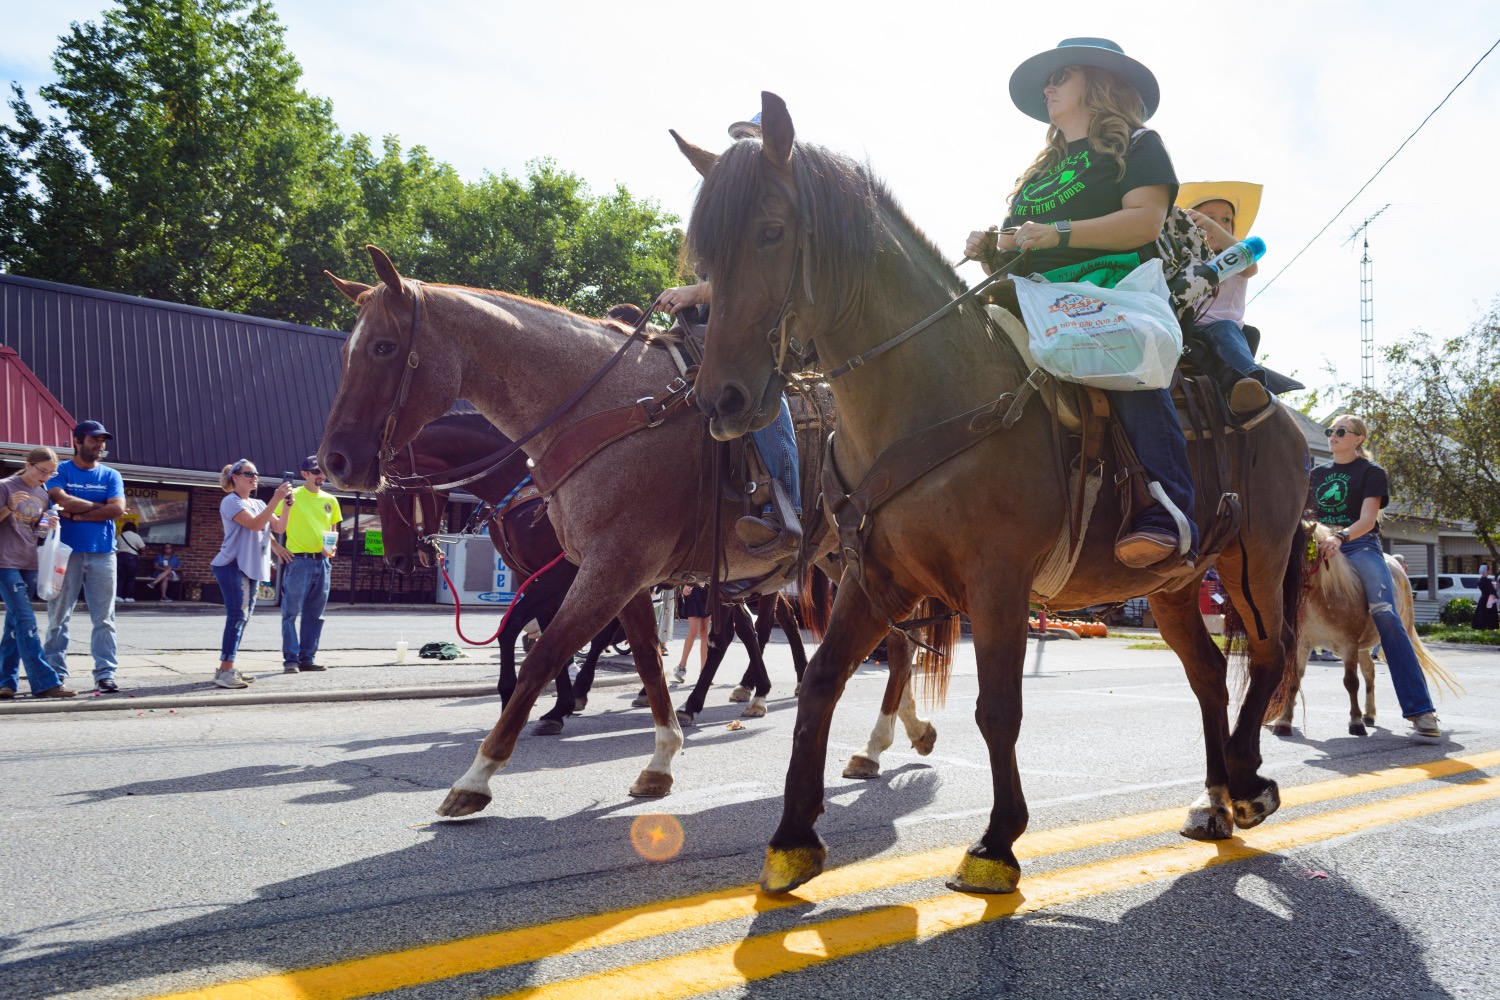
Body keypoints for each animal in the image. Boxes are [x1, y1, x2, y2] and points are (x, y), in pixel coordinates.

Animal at [321, 248, 936, 815]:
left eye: (383, 346)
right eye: (346, 351)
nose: (337, 460)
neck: (607, 411)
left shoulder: (604, 568)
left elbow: (546, 651)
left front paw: (479, 773)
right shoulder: (625, 573)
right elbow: (641, 656)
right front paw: (659, 758)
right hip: (843, 556)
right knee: (894, 641)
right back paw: (888, 736)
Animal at [681, 91, 1314, 893]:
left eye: (771, 231)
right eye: (704, 253)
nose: (721, 400)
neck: (932, 396)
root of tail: (1281, 415)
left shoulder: (998, 581)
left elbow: (998, 709)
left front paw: (996, 843)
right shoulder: (876, 576)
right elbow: (823, 681)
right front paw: (793, 837)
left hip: (1255, 561)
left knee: (1267, 655)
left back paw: (1247, 782)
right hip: (1173, 584)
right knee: (1206, 673)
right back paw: (1214, 799)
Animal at [1272, 527, 1458, 740]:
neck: (1323, 595)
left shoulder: (1348, 645)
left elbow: (1351, 682)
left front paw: (1355, 722)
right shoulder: (1302, 645)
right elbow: (1294, 680)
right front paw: (1283, 722)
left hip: (1402, 630)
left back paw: (1422, 718)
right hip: (1362, 648)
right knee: (1370, 672)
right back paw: (1369, 714)